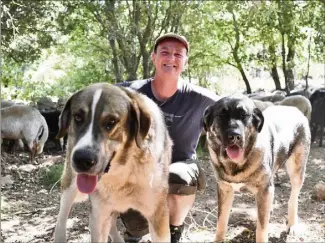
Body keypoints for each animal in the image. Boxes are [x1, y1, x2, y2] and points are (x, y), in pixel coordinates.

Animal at [53, 82, 172, 242]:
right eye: (78, 117)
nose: (82, 160)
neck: (122, 172)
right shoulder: (99, 215)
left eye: (111, 121)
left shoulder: (158, 216)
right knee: (62, 217)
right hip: (70, 185)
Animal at [204, 94, 310, 243]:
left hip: (297, 171)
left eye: (244, 115)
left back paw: (292, 224)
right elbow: (221, 221)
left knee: (293, 198)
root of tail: (294, 109)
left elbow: (262, 228)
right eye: (222, 114)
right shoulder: (225, 189)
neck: (236, 164)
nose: (235, 136)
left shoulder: (264, 189)